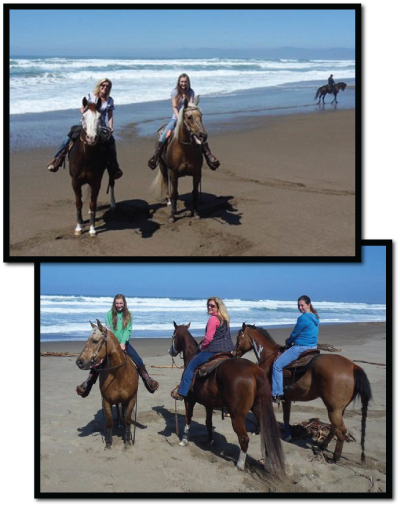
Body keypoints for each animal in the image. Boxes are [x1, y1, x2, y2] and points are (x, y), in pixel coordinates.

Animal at [68, 98, 115, 237]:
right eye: (83, 116)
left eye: (99, 117)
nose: (91, 138)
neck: (85, 158)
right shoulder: (75, 182)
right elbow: (78, 203)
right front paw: (79, 227)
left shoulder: (96, 182)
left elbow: (93, 203)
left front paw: (92, 229)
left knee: (112, 183)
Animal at [168, 322, 284, 476]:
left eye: (173, 336)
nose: (170, 351)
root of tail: (254, 370)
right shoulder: (209, 404)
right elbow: (208, 422)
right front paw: (210, 440)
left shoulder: (189, 401)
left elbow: (188, 419)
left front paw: (184, 440)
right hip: (259, 410)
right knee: (266, 436)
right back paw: (267, 464)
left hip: (237, 416)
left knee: (244, 438)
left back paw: (240, 465)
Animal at [234, 324, 372, 462]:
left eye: (239, 337)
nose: (234, 354)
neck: (269, 356)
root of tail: (354, 367)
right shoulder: (287, 399)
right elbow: (286, 417)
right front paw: (288, 435)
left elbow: (262, 414)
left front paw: (258, 430)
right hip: (338, 409)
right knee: (334, 428)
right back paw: (323, 445)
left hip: (334, 410)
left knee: (341, 431)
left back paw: (335, 457)